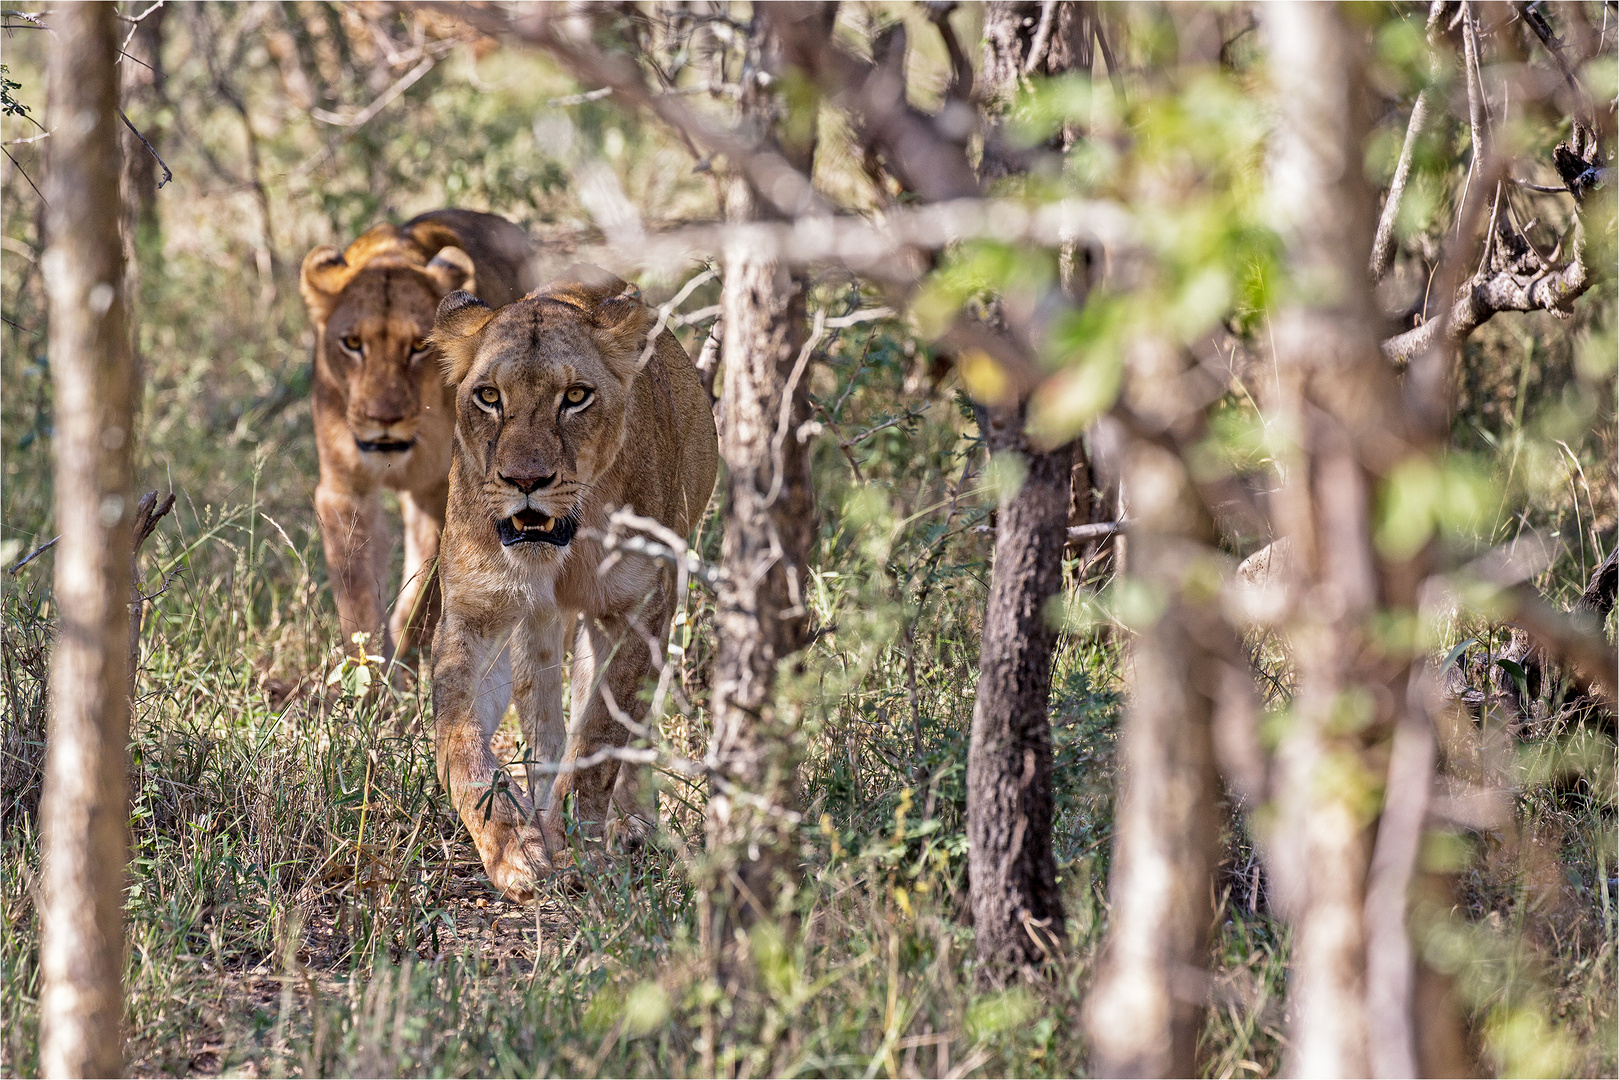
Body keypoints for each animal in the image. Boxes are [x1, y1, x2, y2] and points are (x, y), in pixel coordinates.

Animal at [297, 204, 537, 660]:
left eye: (420, 347)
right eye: (352, 343)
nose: (383, 417)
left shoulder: (443, 489)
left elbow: (426, 589)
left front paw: (408, 654)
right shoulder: (344, 489)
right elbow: (356, 593)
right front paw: (369, 666)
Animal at [430, 265, 715, 900]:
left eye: (576, 397)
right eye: (490, 396)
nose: (525, 481)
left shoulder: (640, 607)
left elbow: (602, 737)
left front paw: (576, 845)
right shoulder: (477, 612)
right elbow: (458, 737)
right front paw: (515, 851)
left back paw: (632, 825)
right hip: (537, 626)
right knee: (544, 720)